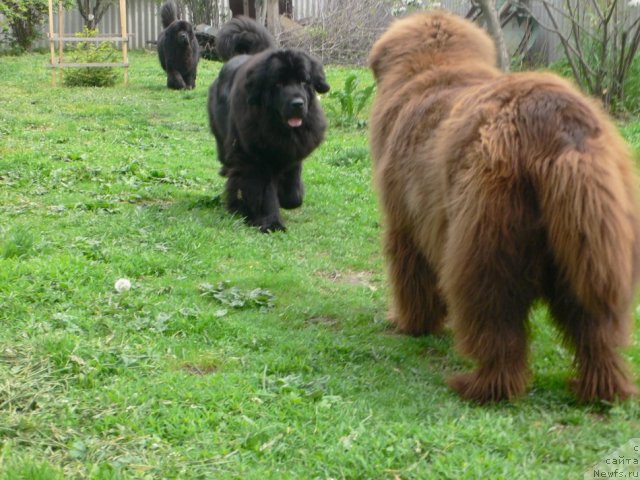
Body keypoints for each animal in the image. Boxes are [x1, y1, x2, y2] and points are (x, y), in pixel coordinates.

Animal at [209, 15, 330, 232]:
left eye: (304, 81)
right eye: (279, 83)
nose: (297, 103)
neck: (279, 128)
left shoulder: (294, 151)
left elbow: (293, 191)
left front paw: (287, 198)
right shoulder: (255, 160)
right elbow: (263, 191)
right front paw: (271, 222)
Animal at [368, 10, 640, 402]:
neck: (438, 68)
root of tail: (556, 128)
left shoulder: (406, 223)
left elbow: (412, 277)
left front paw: (411, 324)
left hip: (489, 238)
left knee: (497, 322)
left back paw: (483, 386)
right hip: (593, 239)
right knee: (595, 328)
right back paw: (601, 388)